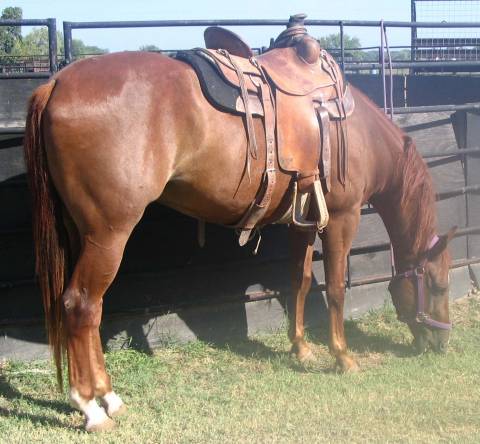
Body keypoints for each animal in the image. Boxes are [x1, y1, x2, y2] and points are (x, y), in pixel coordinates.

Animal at [24, 51, 454, 430]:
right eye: (437, 285)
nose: (441, 344)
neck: (360, 131)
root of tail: (56, 84)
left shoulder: (301, 222)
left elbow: (299, 283)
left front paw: (301, 349)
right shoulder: (342, 218)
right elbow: (334, 289)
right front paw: (343, 357)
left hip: (83, 233)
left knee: (89, 309)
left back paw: (109, 398)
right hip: (109, 234)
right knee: (81, 305)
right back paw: (90, 407)